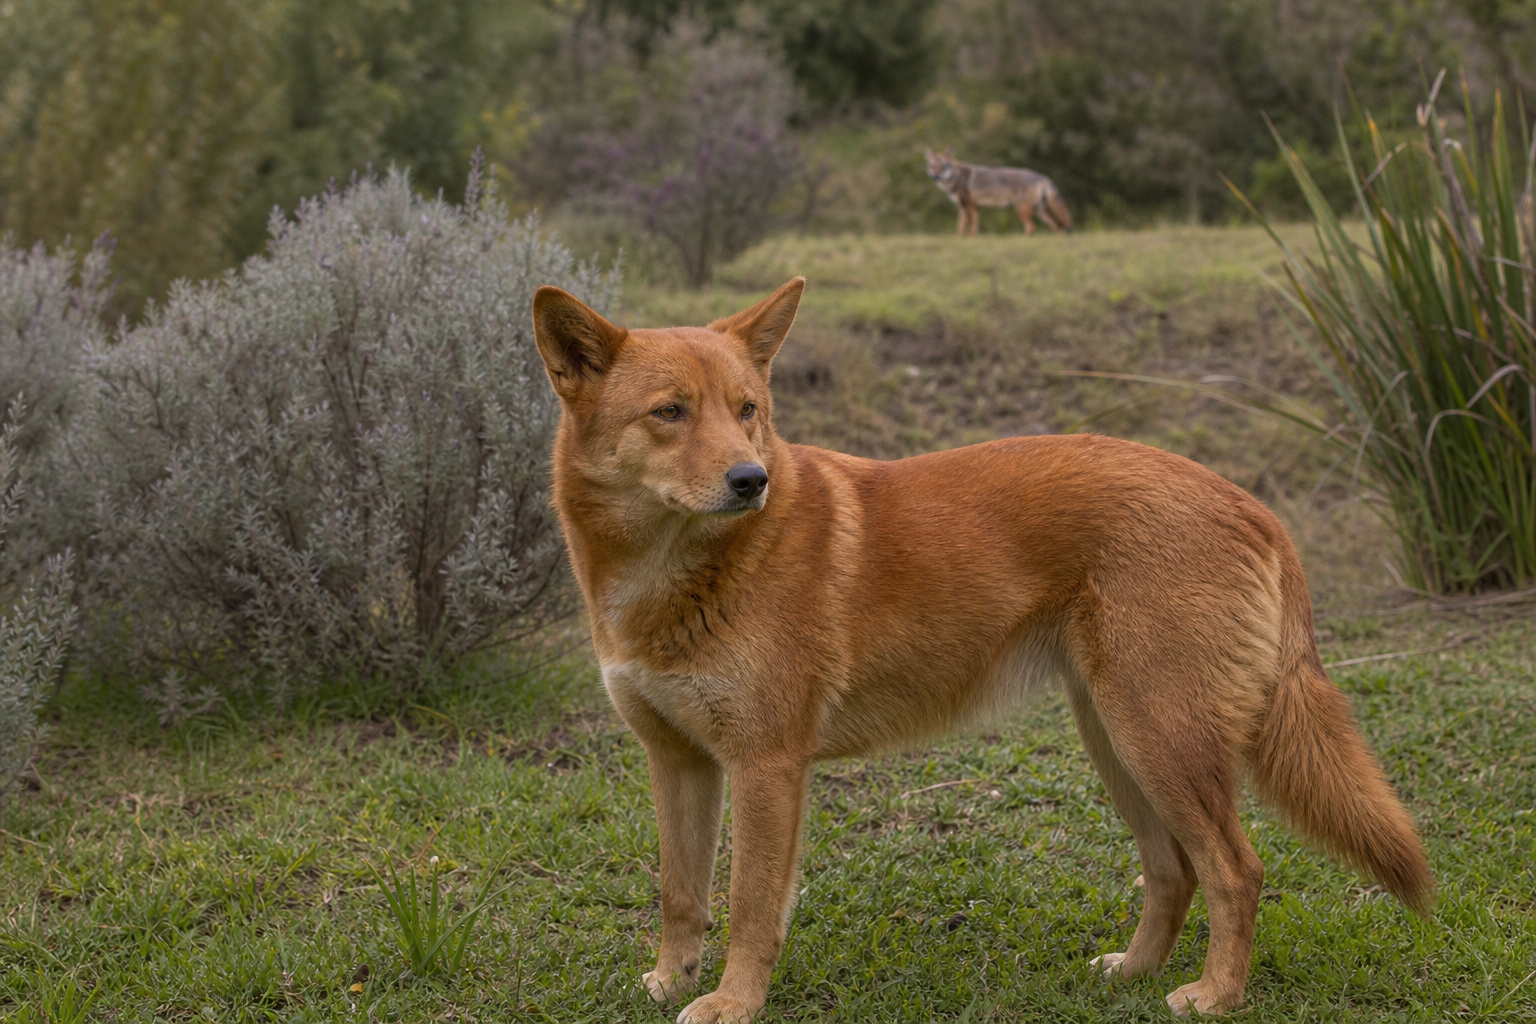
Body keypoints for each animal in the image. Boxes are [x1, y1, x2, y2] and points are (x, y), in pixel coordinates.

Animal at [530, 277, 1434, 1022]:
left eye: (747, 408)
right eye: (670, 412)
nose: (752, 480)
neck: (673, 571)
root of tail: (1247, 503)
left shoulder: (766, 766)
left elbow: (751, 907)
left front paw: (732, 1002)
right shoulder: (679, 761)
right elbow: (681, 893)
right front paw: (670, 979)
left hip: (1162, 740)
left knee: (1236, 871)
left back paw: (1215, 996)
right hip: (1120, 743)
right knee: (1173, 872)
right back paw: (1135, 973)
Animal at [926, 146, 1074, 237]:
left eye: (943, 167)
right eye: (933, 167)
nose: (935, 177)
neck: (956, 178)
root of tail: (1042, 177)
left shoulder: (969, 206)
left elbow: (971, 229)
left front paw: (970, 241)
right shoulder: (966, 208)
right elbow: (961, 228)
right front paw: (961, 241)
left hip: (1021, 210)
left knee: (1032, 227)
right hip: (1038, 211)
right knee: (1056, 225)